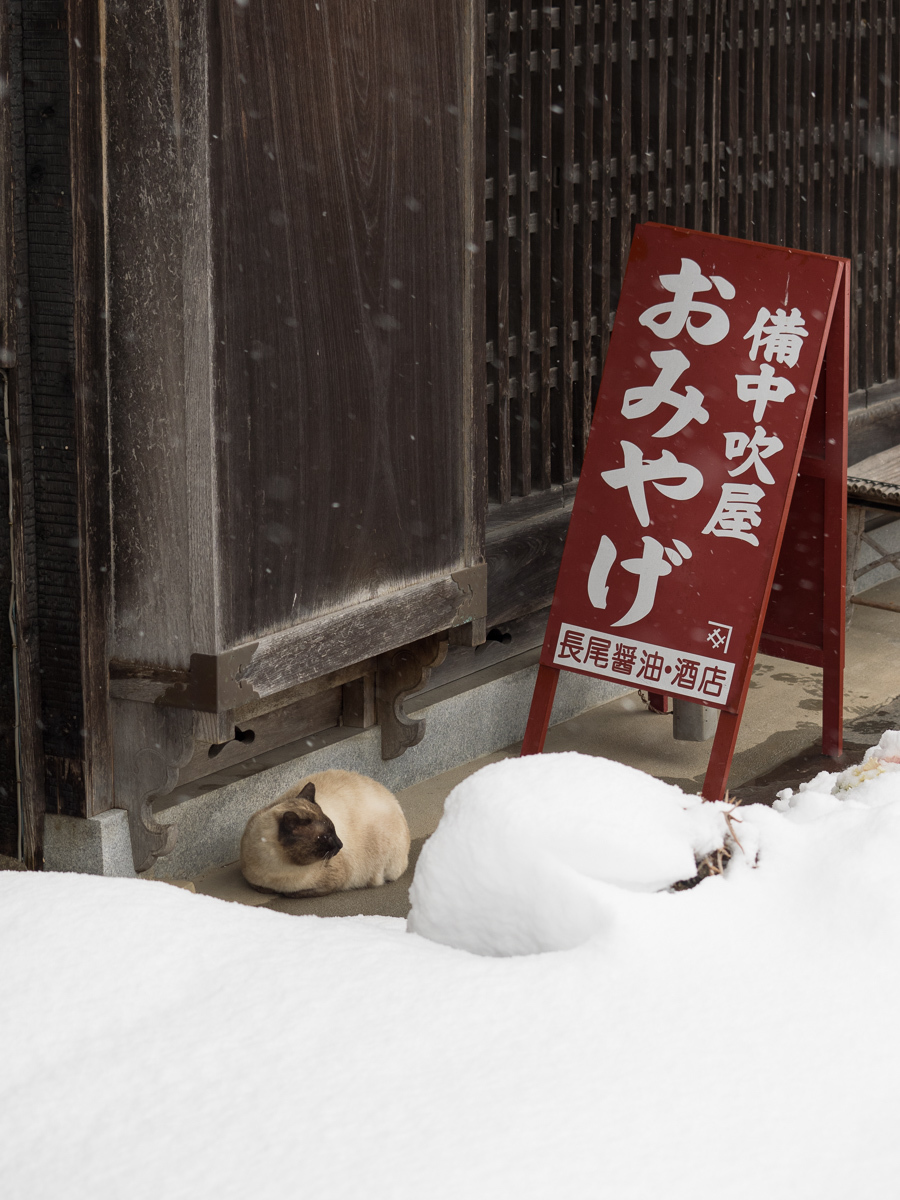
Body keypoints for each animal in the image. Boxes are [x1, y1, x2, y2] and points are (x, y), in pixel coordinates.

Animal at [237, 772, 410, 897]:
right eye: (325, 837)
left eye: (334, 831)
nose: (341, 844)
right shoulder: (254, 881)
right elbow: (265, 888)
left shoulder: (332, 882)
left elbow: (293, 893)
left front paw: (285, 893)